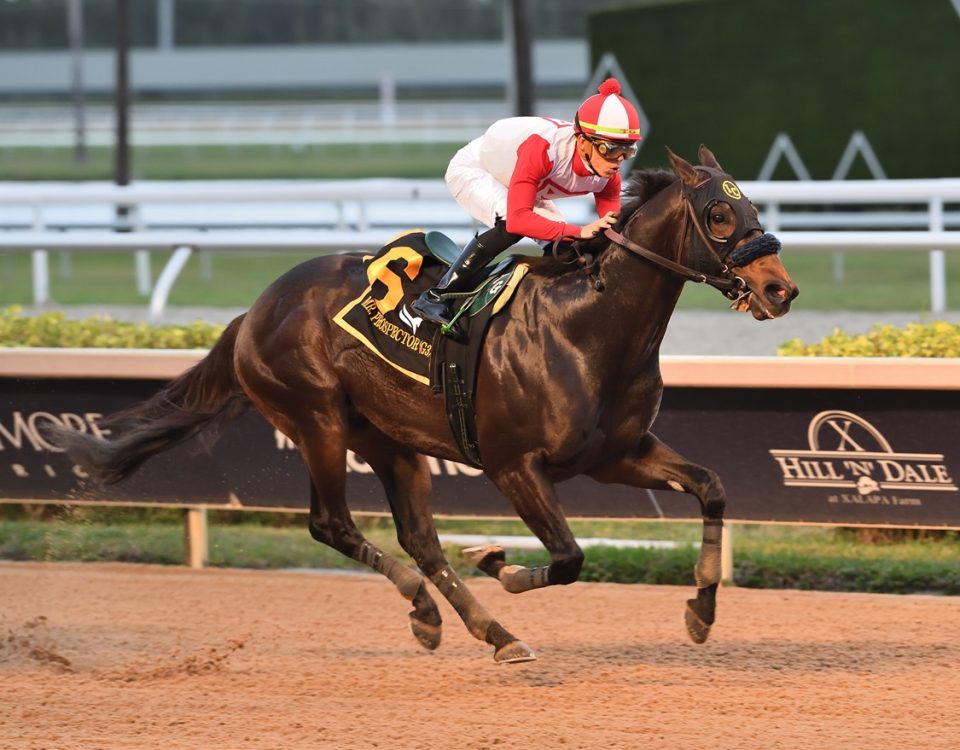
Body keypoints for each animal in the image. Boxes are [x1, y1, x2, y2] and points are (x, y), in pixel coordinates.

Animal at [56, 147, 800, 664]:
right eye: (719, 215)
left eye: (757, 210)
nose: (781, 289)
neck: (584, 326)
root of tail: (254, 312)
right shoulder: (512, 465)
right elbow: (567, 558)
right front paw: (500, 563)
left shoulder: (617, 454)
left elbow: (712, 489)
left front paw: (701, 612)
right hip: (317, 420)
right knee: (332, 525)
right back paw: (433, 612)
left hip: (389, 439)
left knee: (419, 538)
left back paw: (490, 632)